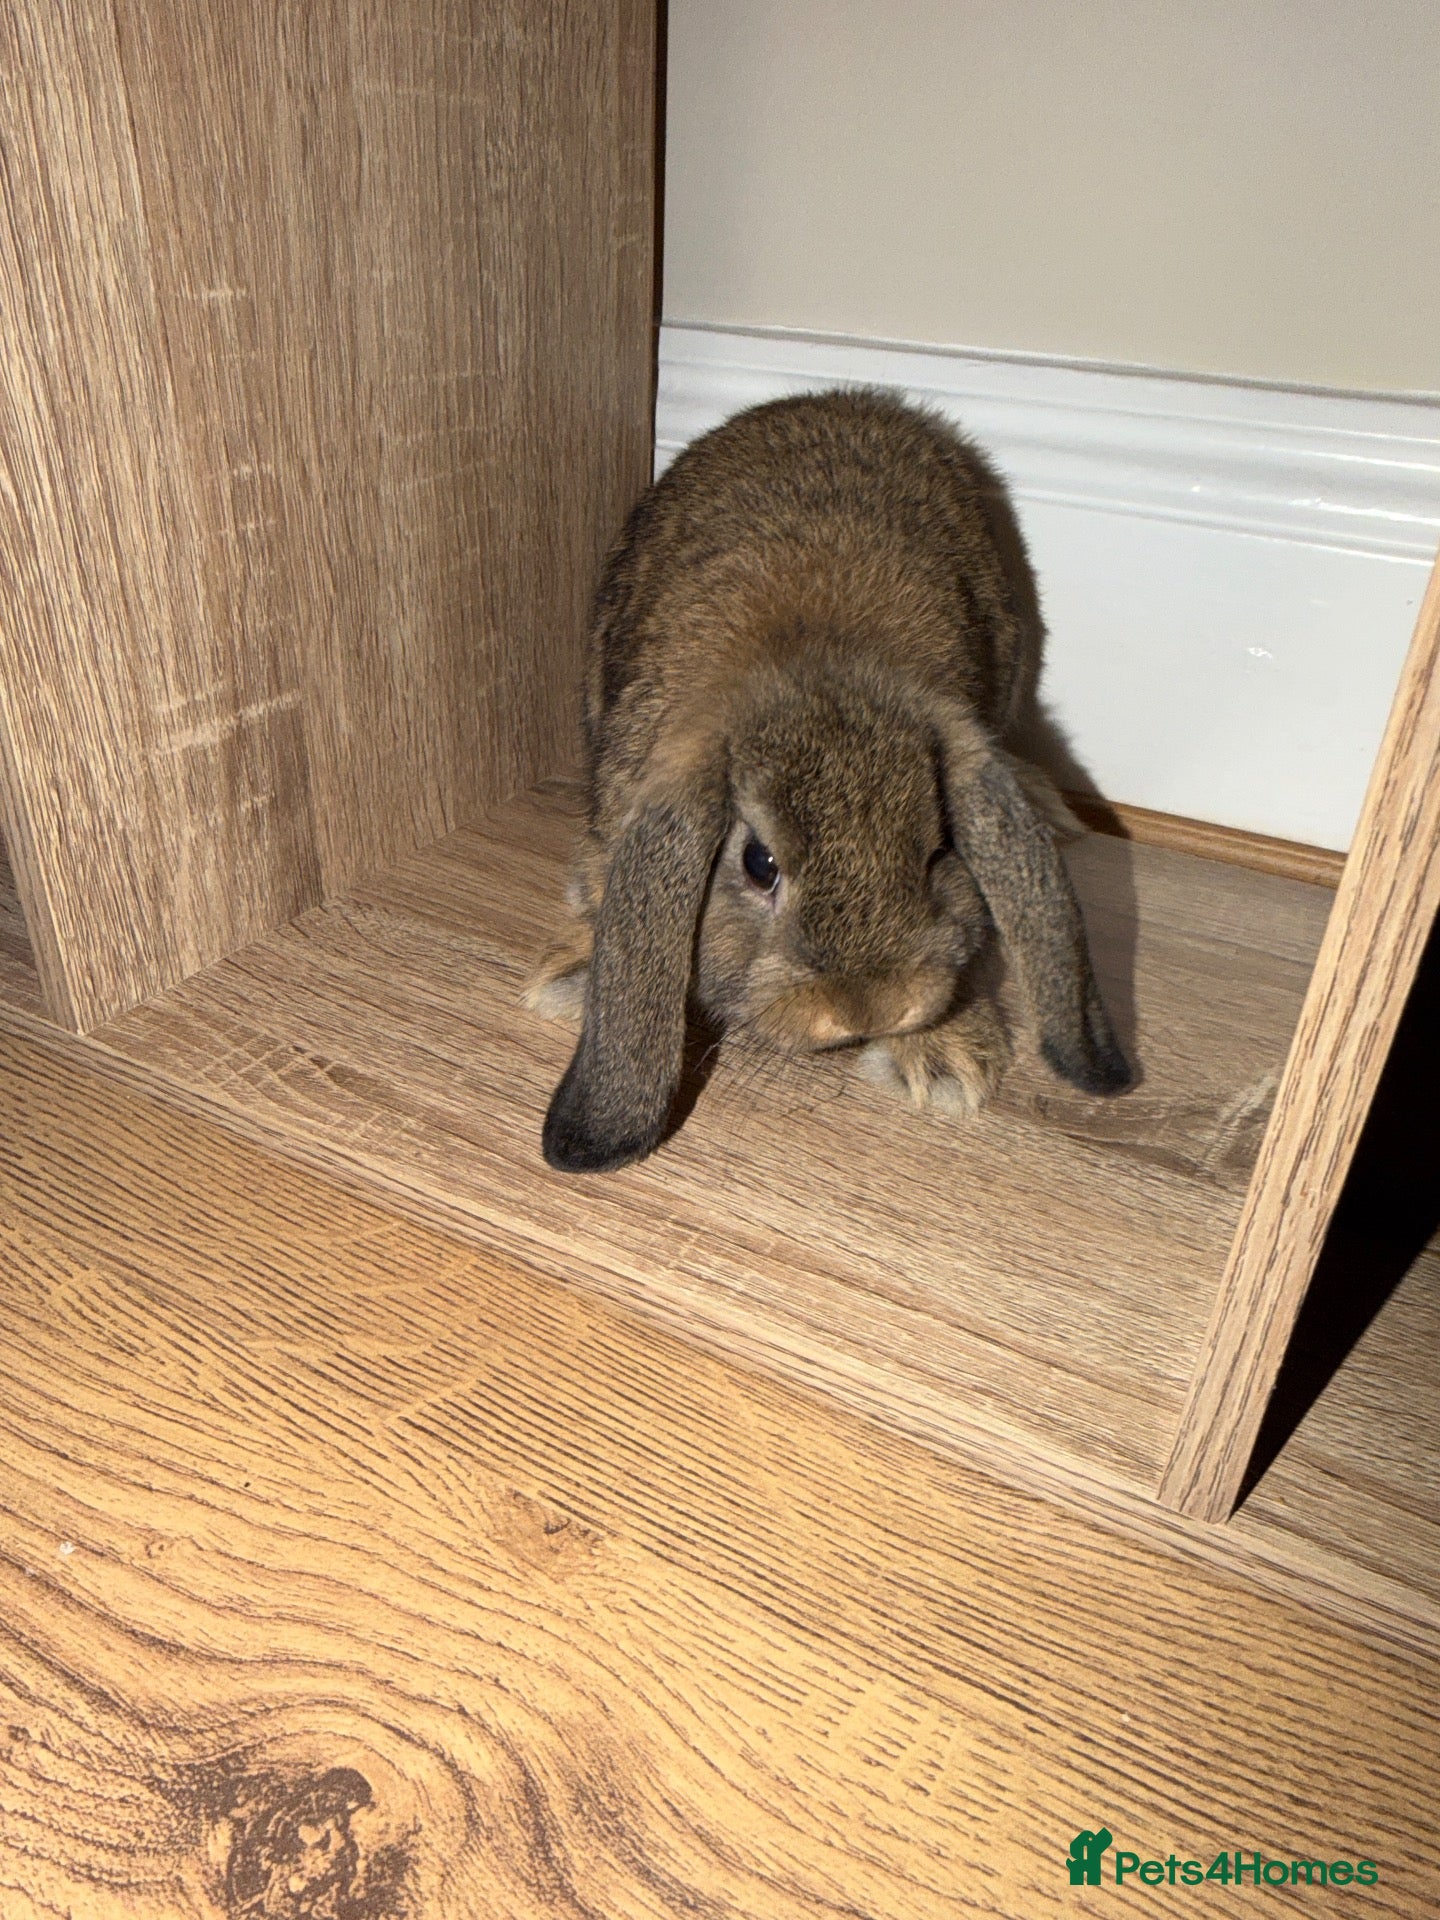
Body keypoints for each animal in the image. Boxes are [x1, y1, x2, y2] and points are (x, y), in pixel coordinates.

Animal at [527, 387, 1131, 1173]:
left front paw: (943, 1059)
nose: (869, 1008)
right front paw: (575, 973)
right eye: (760, 864)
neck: (814, 659)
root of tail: (838, 398)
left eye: (939, 850)